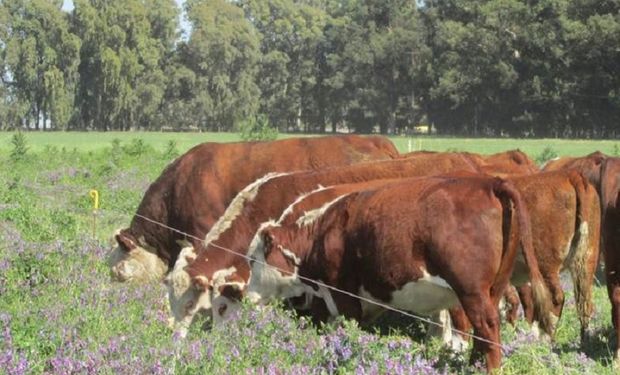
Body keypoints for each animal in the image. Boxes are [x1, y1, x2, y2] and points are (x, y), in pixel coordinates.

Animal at [245, 176, 556, 374]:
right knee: (483, 334)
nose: (247, 297)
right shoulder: (329, 298)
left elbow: (347, 330)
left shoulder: (343, 293)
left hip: (471, 291)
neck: (321, 234)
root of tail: (490, 183)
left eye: (252, 259)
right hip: (492, 288)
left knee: (488, 328)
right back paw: (473, 365)